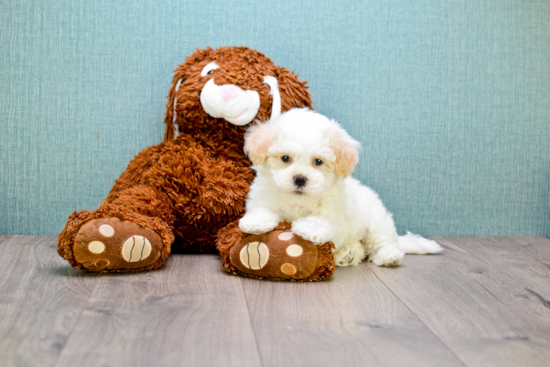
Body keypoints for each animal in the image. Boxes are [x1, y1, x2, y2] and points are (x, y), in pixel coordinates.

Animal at [238, 108, 444, 268]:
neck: (298, 201)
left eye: (318, 162)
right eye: (285, 158)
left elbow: (324, 221)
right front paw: (256, 222)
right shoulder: (263, 196)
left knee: (383, 242)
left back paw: (387, 256)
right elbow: (261, 209)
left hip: (377, 223)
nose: (300, 178)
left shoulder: (337, 217)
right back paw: (347, 255)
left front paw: (310, 228)